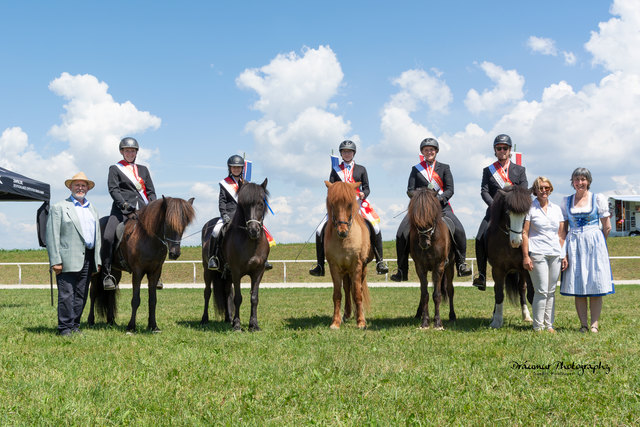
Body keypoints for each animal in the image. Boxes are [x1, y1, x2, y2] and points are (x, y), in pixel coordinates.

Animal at [87, 196, 195, 332]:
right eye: (168, 223)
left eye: (184, 225)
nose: (175, 254)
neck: (148, 238)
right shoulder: (137, 272)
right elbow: (136, 299)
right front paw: (131, 327)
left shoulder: (155, 272)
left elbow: (153, 300)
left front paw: (153, 326)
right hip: (96, 271)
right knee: (93, 293)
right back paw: (91, 321)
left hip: (115, 272)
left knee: (111, 292)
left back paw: (111, 321)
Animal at [200, 179, 270, 332]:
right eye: (243, 205)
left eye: (261, 203)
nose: (254, 231)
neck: (250, 242)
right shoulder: (237, 272)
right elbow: (238, 298)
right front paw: (237, 325)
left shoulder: (258, 272)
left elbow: (254, 298)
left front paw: (254, 325)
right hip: (208, 270)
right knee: (207, 292)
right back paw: (204, 319)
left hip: (227, 274)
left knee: (226, 292)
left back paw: (228, 319)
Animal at [322, 181, 372, 332]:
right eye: (332, 204)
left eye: (350, 204)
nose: (342, 231)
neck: (344, 240)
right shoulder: (334, 267)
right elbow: (337, 294)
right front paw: (335, 322)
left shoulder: (357, 265)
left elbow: (357, 293)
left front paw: (361, 322)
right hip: (345, 270)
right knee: (347, 288)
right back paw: (347, 314)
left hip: (362, 269)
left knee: (357, 288)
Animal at [410, 188, 456, 332]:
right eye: (415, 218)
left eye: (431, 217)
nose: (424, 243)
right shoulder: (420, 267)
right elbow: (424, 294)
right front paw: (425, 322)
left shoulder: (439, 266)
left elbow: (437, 295)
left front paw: (437, 323)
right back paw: (419, 314)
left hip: (450, 266)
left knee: (450, 289)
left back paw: (452, 315)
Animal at [484, 186, 536, 330]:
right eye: (508, 213)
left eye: (526, 214)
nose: (516, 242)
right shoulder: (497, 270)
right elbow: (499, 294)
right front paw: (497, 321)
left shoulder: (526, 269)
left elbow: (530, 293)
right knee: (497, 289)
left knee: (521, 289)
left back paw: (526, 316)